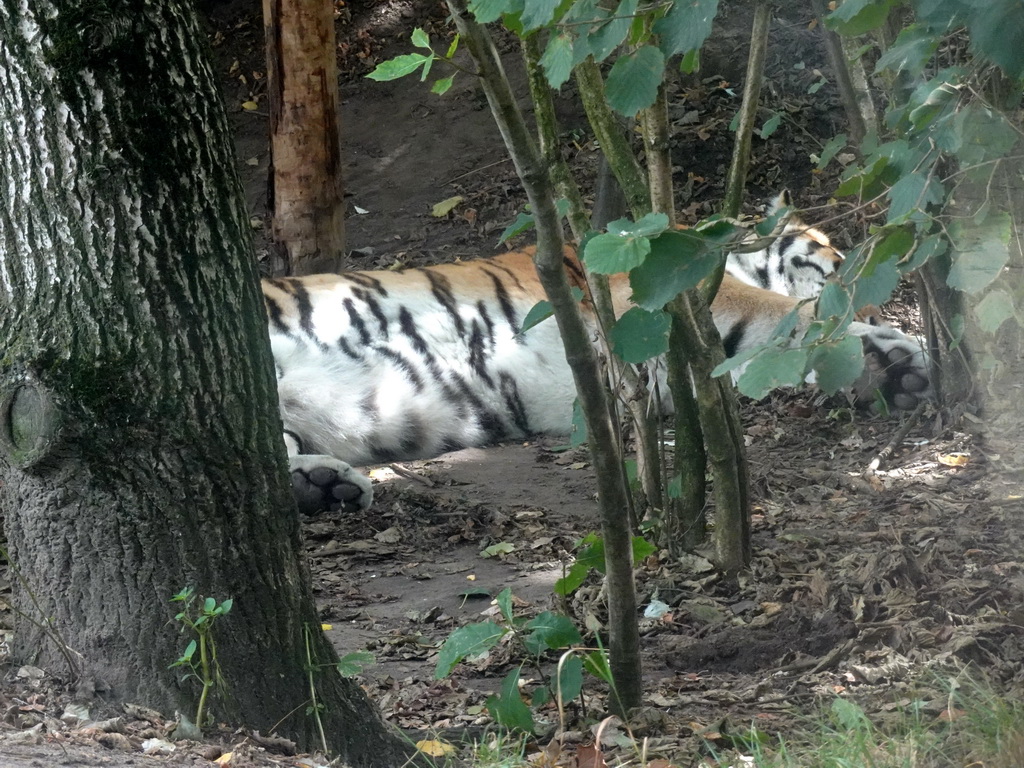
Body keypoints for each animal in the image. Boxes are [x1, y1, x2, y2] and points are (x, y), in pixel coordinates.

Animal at [268, 196, 933, 518]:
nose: (880, 307)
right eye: (835, 255)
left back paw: (319, 489)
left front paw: (889, 372)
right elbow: (787, 312)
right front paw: (898, 351)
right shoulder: (668, 300)